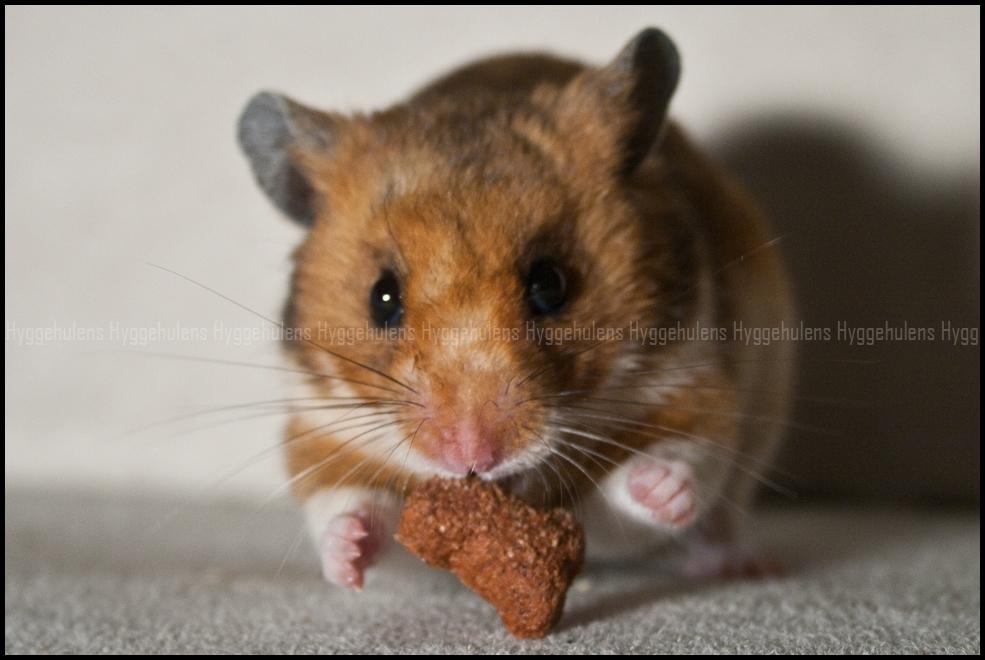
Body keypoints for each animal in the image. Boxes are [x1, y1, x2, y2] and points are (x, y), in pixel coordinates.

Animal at [237, 27, 795, 589]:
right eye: (382, 297)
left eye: (550, 284)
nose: (472, 458)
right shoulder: (321, 429)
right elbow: (348, 505)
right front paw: (349, 558)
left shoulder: (694, 386)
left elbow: (662, 468)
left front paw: (660, 487)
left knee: (722, 516)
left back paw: (742, 565)